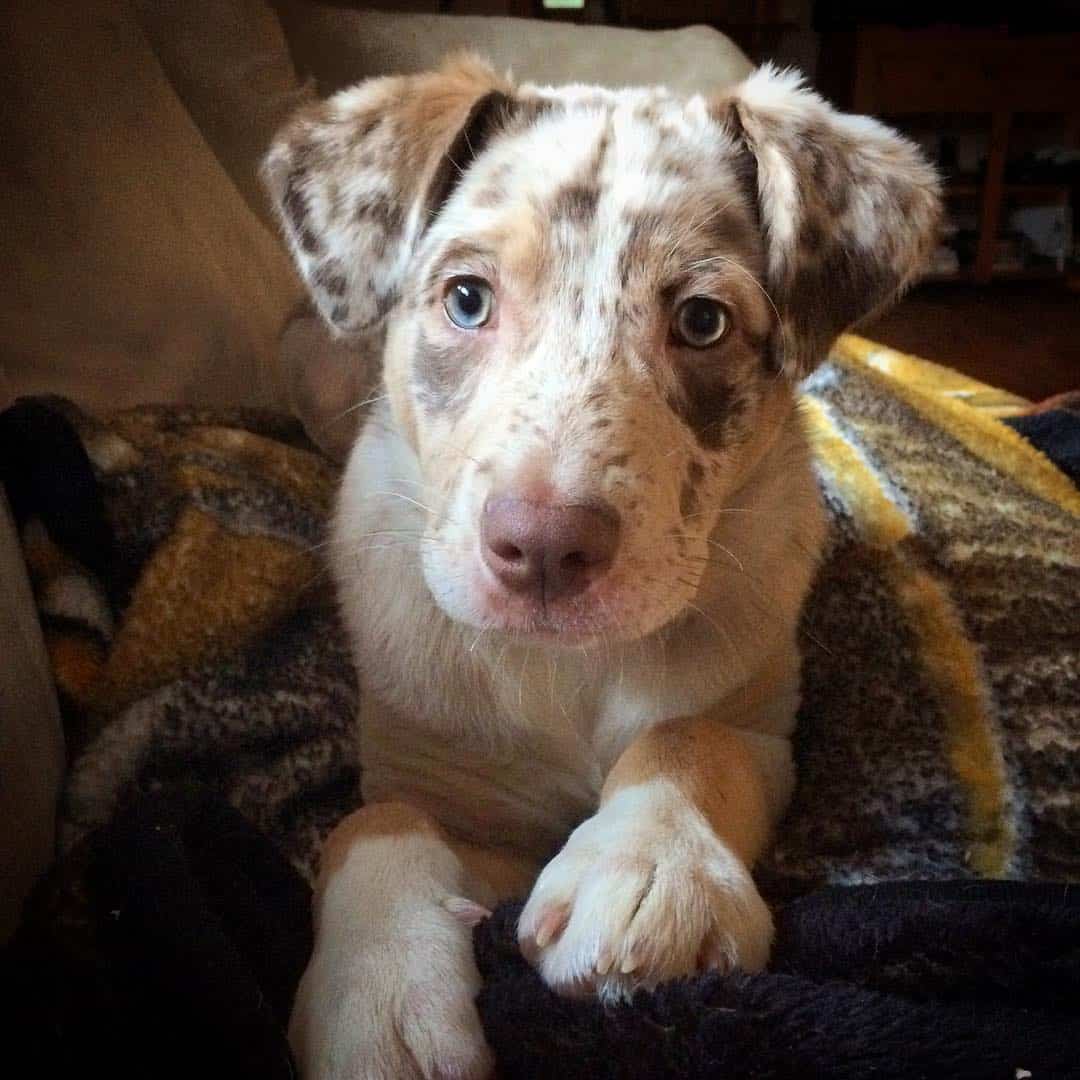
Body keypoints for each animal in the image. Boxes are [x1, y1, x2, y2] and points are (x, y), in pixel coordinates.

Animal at [265, 61, 941, 1080]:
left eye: (701, 321)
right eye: (467, 299)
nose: (543, 547)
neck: (568, 670)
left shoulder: (761, 726)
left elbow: (687, 737)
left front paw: (653, 869)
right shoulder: (437, 776)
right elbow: (370, 822)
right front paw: (378, 997)